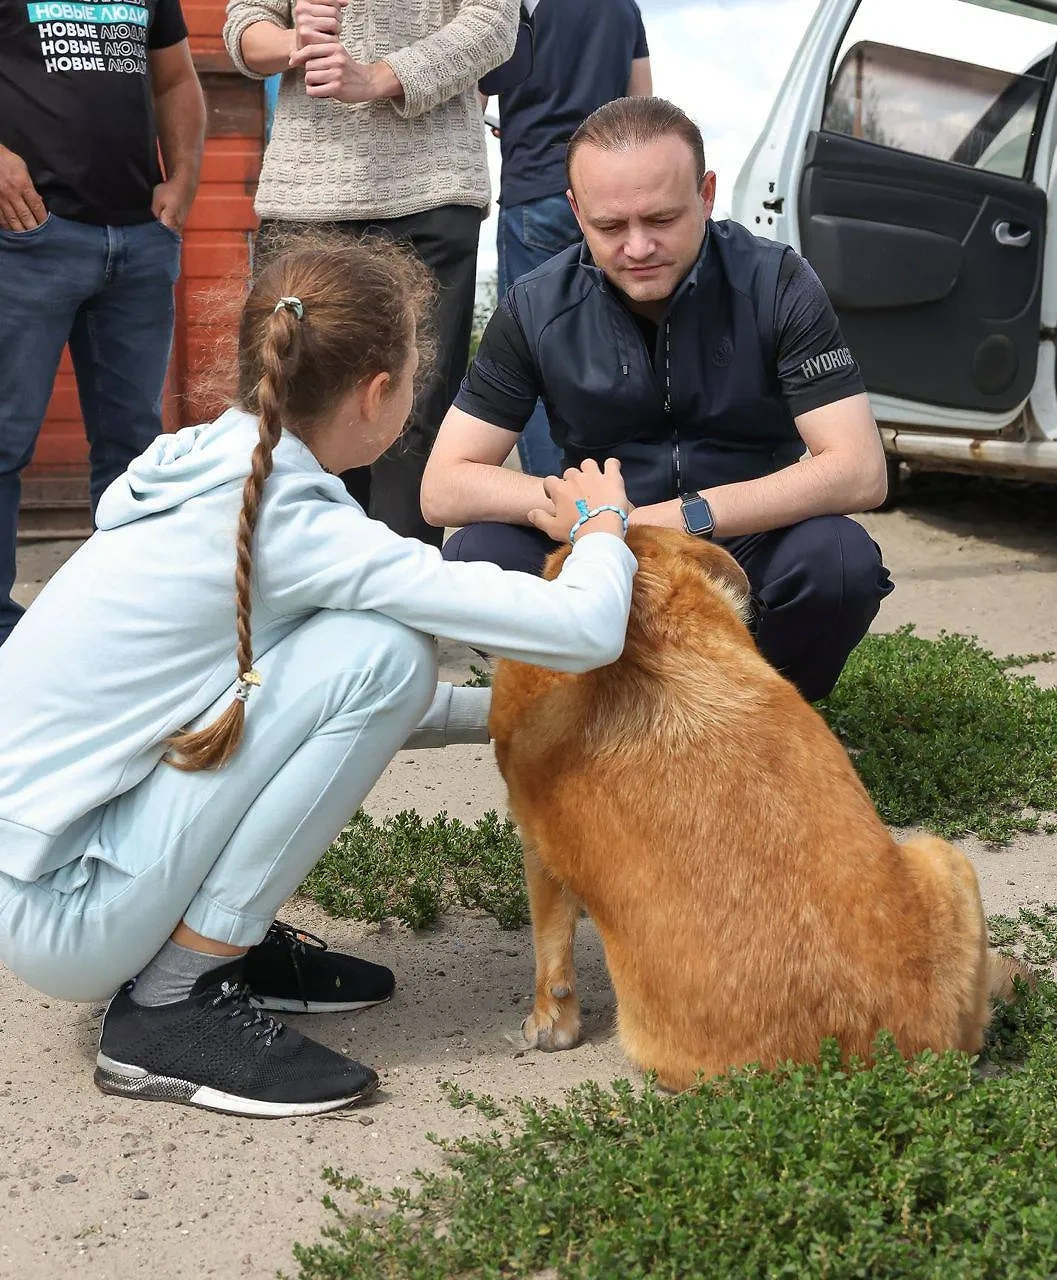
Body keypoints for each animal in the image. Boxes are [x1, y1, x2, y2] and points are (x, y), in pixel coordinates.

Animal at [491, 524, 1023, 1085]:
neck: (644, 618)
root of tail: (867, 1062)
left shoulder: (536, 845)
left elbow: (551, 948)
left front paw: (549, 1022)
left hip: (944, 853)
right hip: (945, 862)